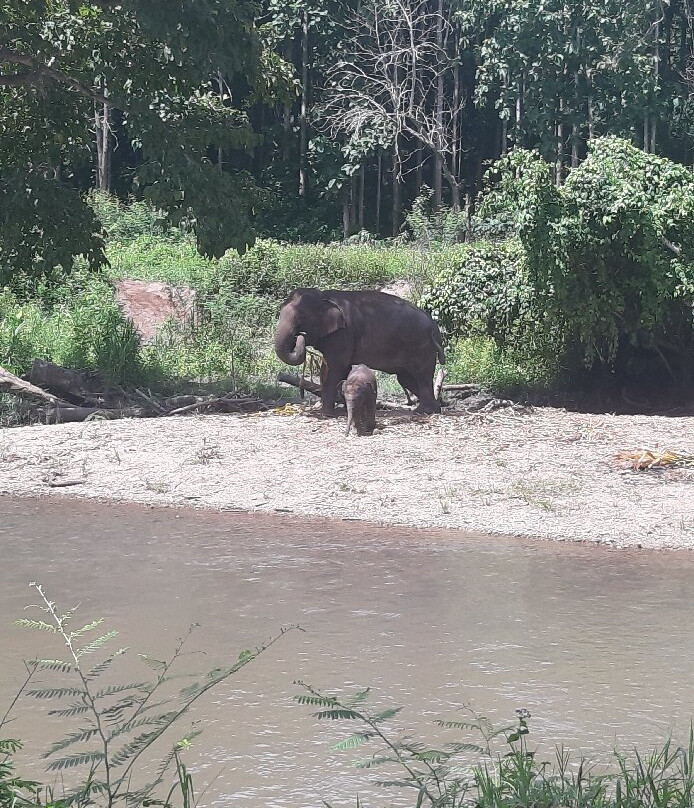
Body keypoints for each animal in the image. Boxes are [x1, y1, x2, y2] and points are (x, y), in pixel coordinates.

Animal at [274, 288, 445, 415]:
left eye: (300, 318)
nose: (299, 336)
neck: (324, 296)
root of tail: (434, 327)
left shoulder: (343, 334)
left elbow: (335, 367)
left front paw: (326, 413)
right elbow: (335, 368)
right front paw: (340, 408)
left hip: (420, 344)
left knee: (420, 375)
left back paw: (423, 411)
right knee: (406, 378)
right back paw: (434, 408)